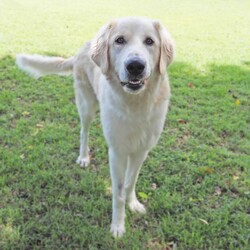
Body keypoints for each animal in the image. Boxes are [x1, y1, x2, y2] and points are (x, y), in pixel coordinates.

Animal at [16, 17, 174, 236]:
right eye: (119, 40)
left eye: (150, 41)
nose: (135, 66)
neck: (135, 106)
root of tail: (83, 47)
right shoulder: (117, 153)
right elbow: (118, 193)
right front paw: (118, 226)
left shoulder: (141, 150)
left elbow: (131, 182)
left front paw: (133, 204)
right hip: (86, 106)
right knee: (84, 132)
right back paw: (84, 157)